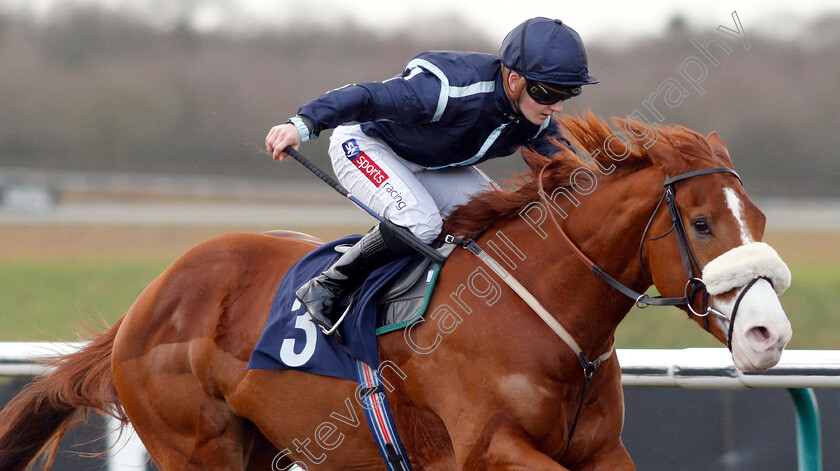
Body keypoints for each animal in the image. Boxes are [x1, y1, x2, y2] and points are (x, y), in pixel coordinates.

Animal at [0, 115, 792, 471]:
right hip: (196, 448)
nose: (769, 334)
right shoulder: (489, 449)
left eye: (758, 217)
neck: (541, 313)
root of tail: (147, 300)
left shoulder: (600, 451)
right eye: (700, 221)